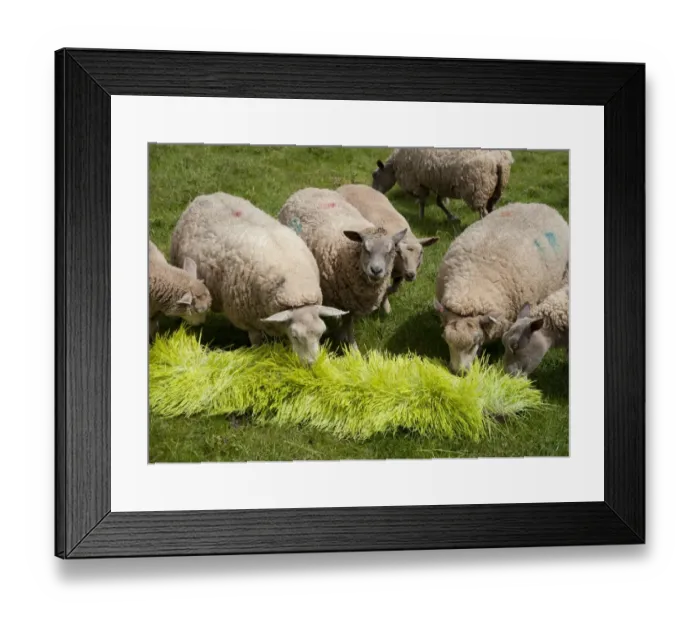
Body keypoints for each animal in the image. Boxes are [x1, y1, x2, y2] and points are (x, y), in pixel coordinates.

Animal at [169, 192, 347, 365]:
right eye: (296, 336)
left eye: (321, 333)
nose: (312, 364)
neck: (295, 285)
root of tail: (203, 197)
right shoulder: (249, 321)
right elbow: (257, 343)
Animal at [278, 187, 407, 349]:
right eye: (365, 248)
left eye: (390, 251)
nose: (376, 270)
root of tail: (307, 189)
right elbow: (347, 324)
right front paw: (349, 344)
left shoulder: (351, 302)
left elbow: (348, 322)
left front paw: (348, 343)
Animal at [336, 183, 439, 314]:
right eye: (399, 252)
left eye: (421, 253)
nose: (411, 274)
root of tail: (349, 184)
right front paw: (385, 306)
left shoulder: (399, 274)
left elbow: (394, 288)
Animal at [371, 148, 515, 221]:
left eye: (374, 175)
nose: (373, 193)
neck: (394, 167)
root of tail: (499, 160)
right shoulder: (440, 184)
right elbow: (439, 203)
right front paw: (451, 217)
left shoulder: (416, 183)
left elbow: (422, 202)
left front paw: (420, 219)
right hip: (496, 190)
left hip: (478, 190)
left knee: (484, 213)